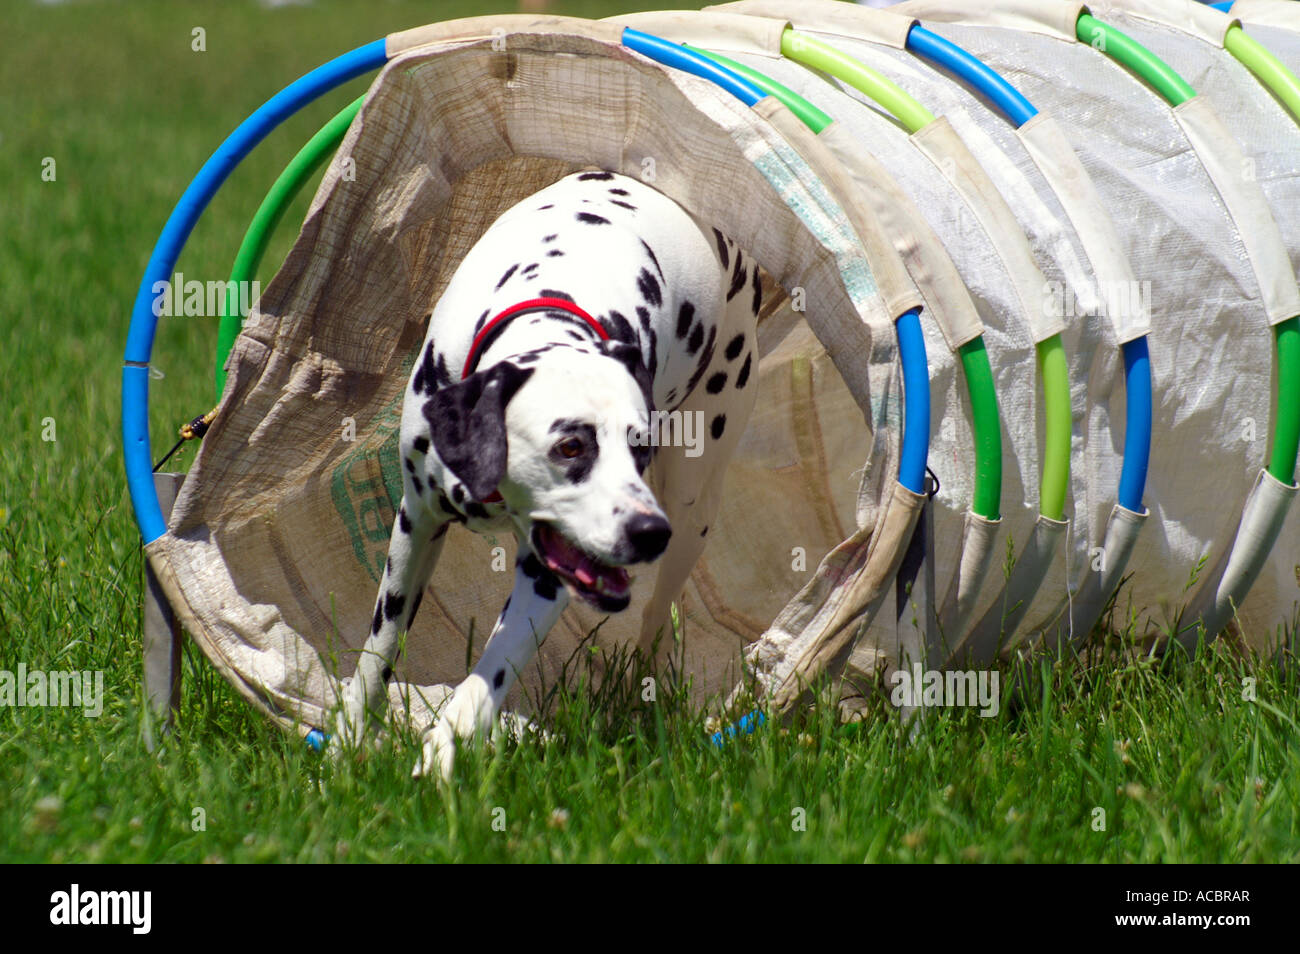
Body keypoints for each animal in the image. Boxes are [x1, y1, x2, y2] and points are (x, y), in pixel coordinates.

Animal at [330, 171, 764, 779]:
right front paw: (347, 741)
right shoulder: (415, 525)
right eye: (570, 445)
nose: (646, 532)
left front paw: (443, 751)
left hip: (693, 504)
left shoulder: (545, 577)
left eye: (640, 447)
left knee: (658, 616)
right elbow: (380, 647)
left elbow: (485, 678)